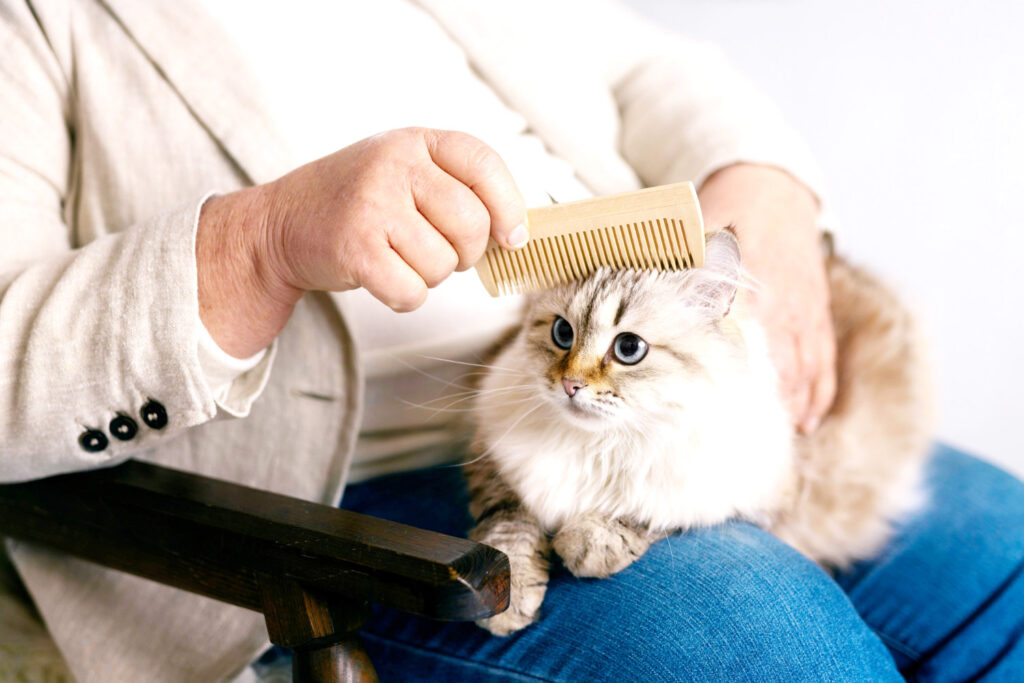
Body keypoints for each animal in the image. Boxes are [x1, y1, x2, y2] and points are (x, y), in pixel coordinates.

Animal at [468, 229, 933, 634]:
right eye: (562, 333)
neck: (601, 444)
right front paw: (506, 606)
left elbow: (649, 514)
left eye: (628, 349)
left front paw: (586, 546)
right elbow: (508, 533)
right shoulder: (495, 464)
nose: (570, 386)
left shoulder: (753, 493)